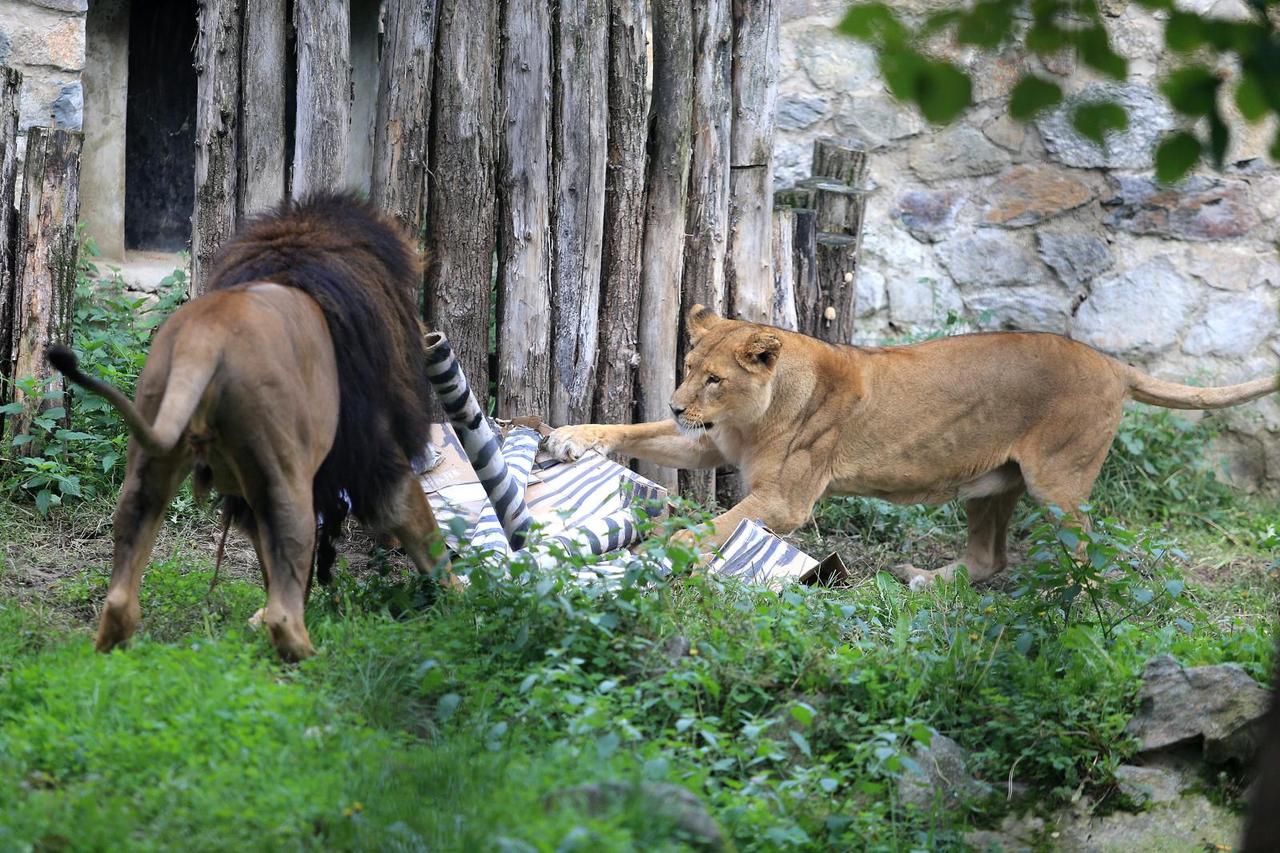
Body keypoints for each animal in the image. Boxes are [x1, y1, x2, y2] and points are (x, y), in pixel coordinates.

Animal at [48, 192, 450, 655]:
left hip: (151, 457)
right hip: (287, 479)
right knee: (285, 613)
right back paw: (315, 654)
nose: (429, 335)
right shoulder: (372, 451)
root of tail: (204, 338)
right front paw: (467, 598)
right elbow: (421, 530)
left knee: (120, 589)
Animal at [550, 306, 1280, 584]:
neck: (756, 411)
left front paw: (672, 547)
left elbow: (723, 523)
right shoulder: (709, 447)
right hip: (992, 483)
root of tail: (1112, 363)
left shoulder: (785, 499)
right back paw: (924, 580)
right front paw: (568, 437)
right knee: (987, 558)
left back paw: (1064, 606)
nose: (680, 404)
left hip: (1057, 481)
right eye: (686, 366)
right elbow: (635, 431)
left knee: (1084, 550)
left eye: (715, 378)